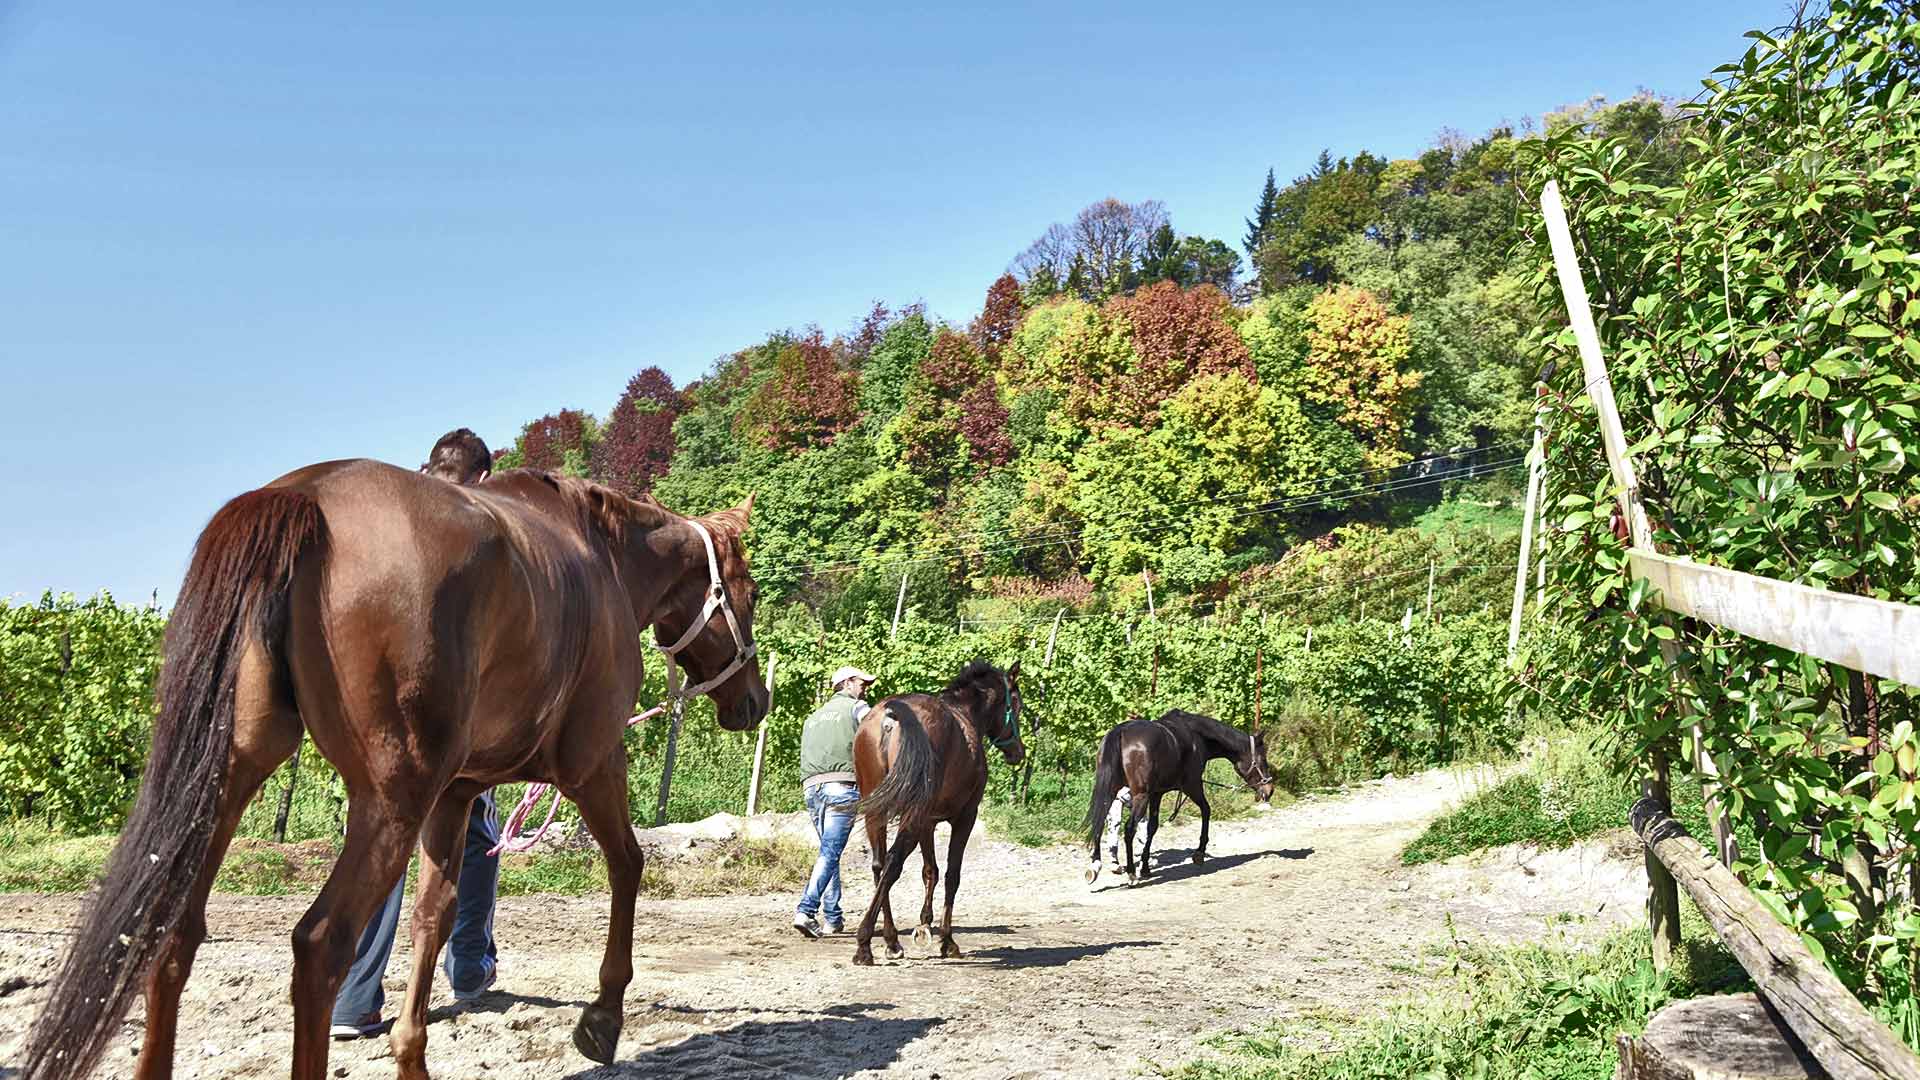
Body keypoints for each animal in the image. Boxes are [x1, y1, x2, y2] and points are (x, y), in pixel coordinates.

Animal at [17, 460, 767, 1080]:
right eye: (751, 592)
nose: (755, 702)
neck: (600, 560)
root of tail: (302, 497)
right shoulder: (593, 764)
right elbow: (629, 865)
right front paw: (603, 1018)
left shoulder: (457, 795)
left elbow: (434, 917)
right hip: (388, 804)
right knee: (321, 947)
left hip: (230, 780)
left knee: (175, 931)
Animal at [849, 660, 1025, 966]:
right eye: (1015, 704)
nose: (1018, 751)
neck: (965, 717)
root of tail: (892, 715)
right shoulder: (965, 817)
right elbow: (952, 874)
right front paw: (947, 940)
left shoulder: (928, 823)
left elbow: (930, 870)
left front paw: (924, 924)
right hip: (911, 815)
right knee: (892, 864)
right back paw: (864, 943)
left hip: (876, 811)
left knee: (879, 866)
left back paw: (891, 940)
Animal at [1084, 709, 1274, 886]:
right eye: (1263, 758)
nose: (1269, 789)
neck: (1196, 735)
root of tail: (1121, 732)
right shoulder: (1192, 786)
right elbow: (1206, 810)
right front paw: (1199, 853)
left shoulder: (1157, 794)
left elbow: (1152, 828)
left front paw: (1145, 867)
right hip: (1139, 797)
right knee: (1129, 829)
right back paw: (1131, 873)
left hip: (1111, 791)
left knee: (1099, 822)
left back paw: (1095, 866)